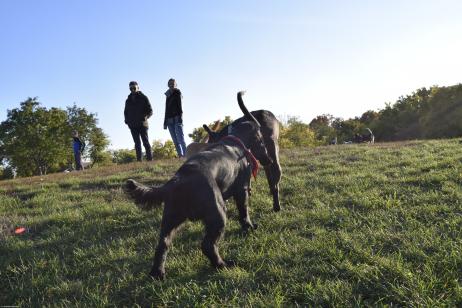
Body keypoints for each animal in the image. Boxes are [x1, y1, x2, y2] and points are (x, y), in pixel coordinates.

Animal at [124, 111, 272, 282]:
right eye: (261, 140)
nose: (269, 160)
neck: (235, 144)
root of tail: (177, 180)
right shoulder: (242, 189)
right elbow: (244, 212)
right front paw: (249, 227)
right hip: (218, 215)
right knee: (208, 245)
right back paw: (222, 265)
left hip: (170, 220)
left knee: (162, 244)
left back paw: (157, 273)